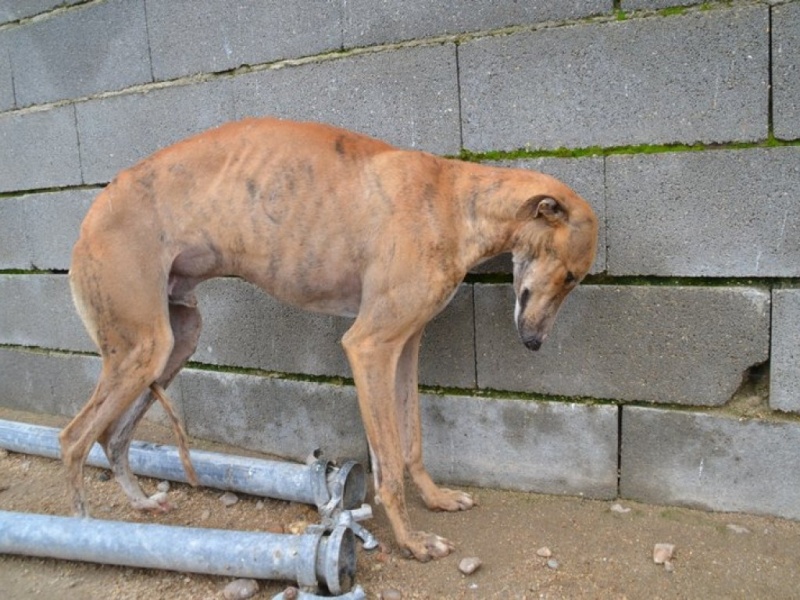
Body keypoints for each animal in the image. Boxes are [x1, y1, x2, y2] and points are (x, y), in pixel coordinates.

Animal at [62, 118, 596, 564]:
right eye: (570, 275)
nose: (533, 343)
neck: (454, 200)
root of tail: (90, 215)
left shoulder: (406, 345)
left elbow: (411, 441)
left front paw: (437, 498)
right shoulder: (369, 346)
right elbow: (387, 463)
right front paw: (412, 541)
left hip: (175, 341)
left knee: (112, 437)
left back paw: (141, 506)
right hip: (141, 348)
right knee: (73, 439)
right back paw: (83, 533)